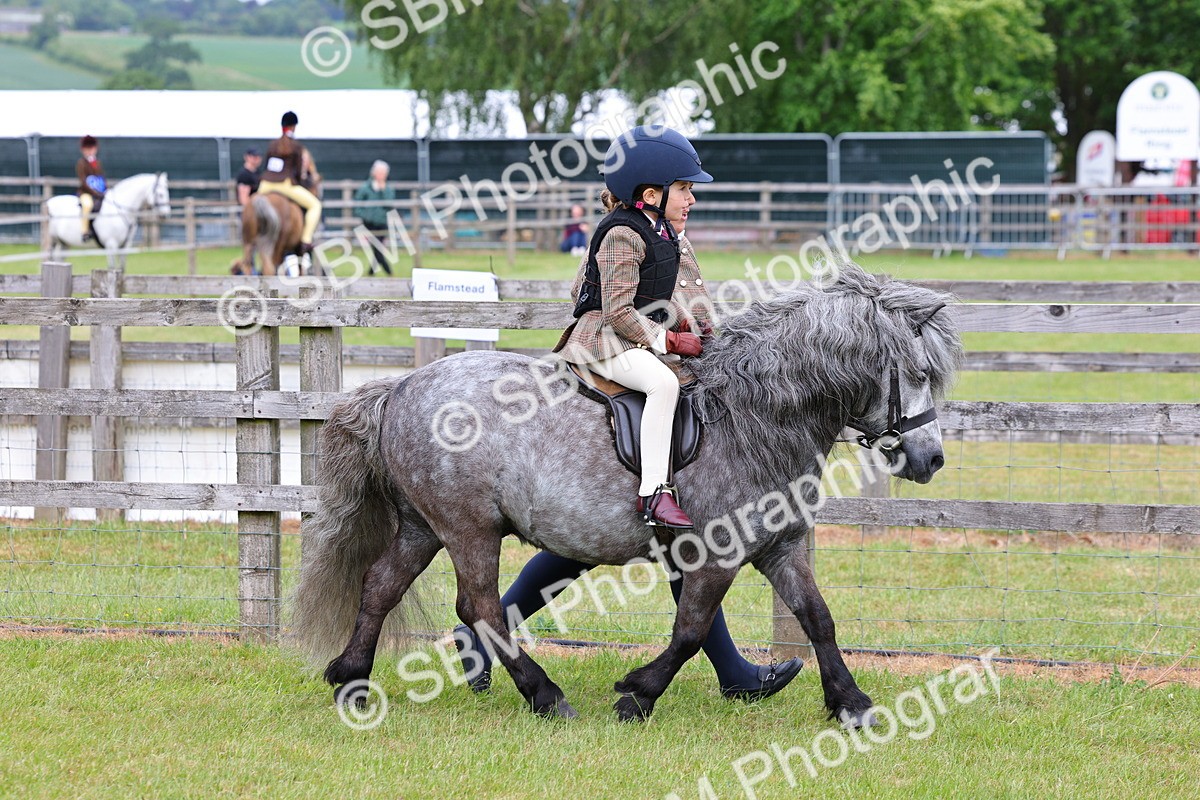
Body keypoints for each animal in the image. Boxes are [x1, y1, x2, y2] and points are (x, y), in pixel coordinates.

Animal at [290, 261, 963, 726]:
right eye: (918, 373)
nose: (930, 460)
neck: (755, 412)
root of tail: (401, 387)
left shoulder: (780, 545)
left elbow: (818, 619)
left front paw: (851, 703)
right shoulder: (716, 552)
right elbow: (690, 629)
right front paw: (637, 695)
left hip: (422, 524)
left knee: (381, 584)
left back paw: (352, 680)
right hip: (467, 527)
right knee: (478, 606)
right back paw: (544, 695)